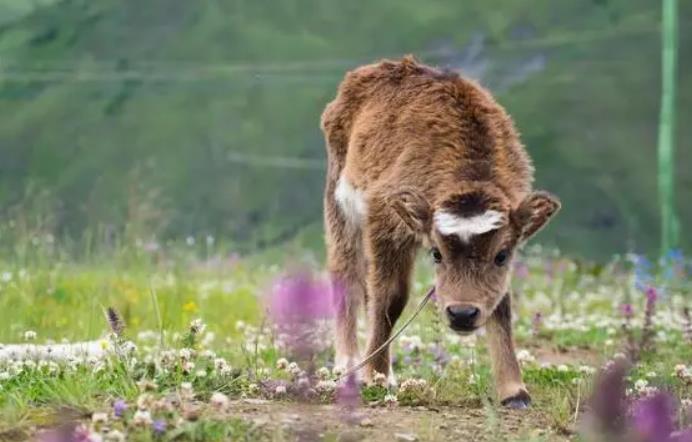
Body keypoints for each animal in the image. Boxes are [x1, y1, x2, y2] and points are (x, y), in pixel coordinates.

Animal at [322, 56, 560, 408]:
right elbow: (390, 297)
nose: (462, 313)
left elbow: (501, 306)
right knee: (347, 276)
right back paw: (349, 362)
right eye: (436, 253)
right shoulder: (384, 221)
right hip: (340, 208)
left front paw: (514, 390)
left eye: (501, 255)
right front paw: (376, 376)